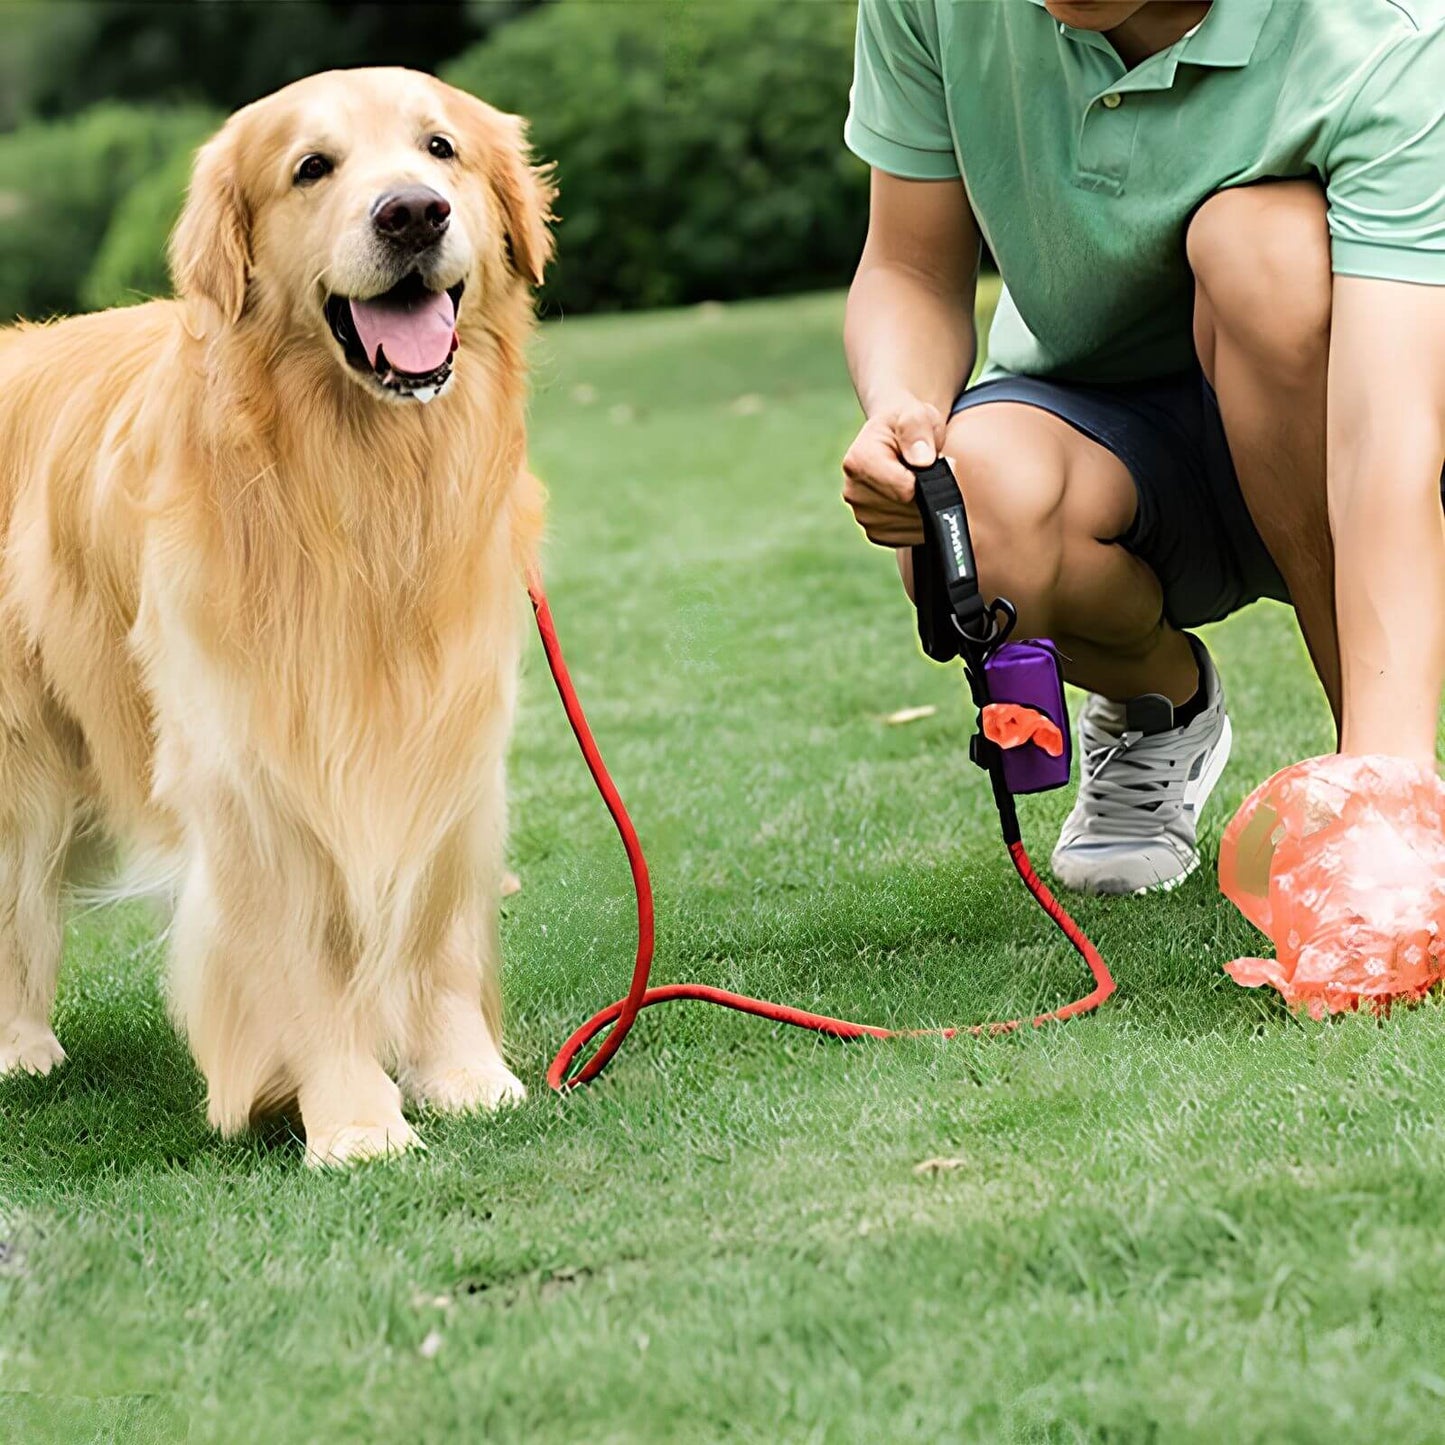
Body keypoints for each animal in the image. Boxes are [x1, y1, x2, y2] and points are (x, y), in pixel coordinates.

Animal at [0, 73, 551, 1167]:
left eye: (441, 148)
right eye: (311, 167)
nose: (412, 212)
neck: (357, 484)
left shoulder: (448, 736)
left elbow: (434, 932)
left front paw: (464, 1074)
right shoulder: (251, 769)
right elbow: (305, 962)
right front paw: (350, 1118)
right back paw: (20, 1046)